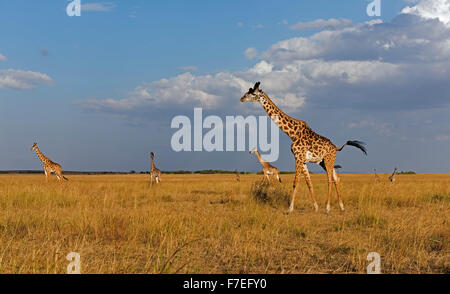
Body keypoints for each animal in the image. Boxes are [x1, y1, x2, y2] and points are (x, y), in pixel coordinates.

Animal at [239, 82, 366, 214]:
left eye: (252, 93)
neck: (292, 134)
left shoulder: (298, 158)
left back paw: (328, 207)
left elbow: (296, 182)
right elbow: (308, 183)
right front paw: (315, 207)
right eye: (248, 91)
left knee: (330, 179)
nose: (241, 98)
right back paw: (341, 206)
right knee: (337, 178)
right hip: (322, 162)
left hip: (328, 159)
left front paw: (289, 209)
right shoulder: (303, 161)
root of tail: (336, 147)